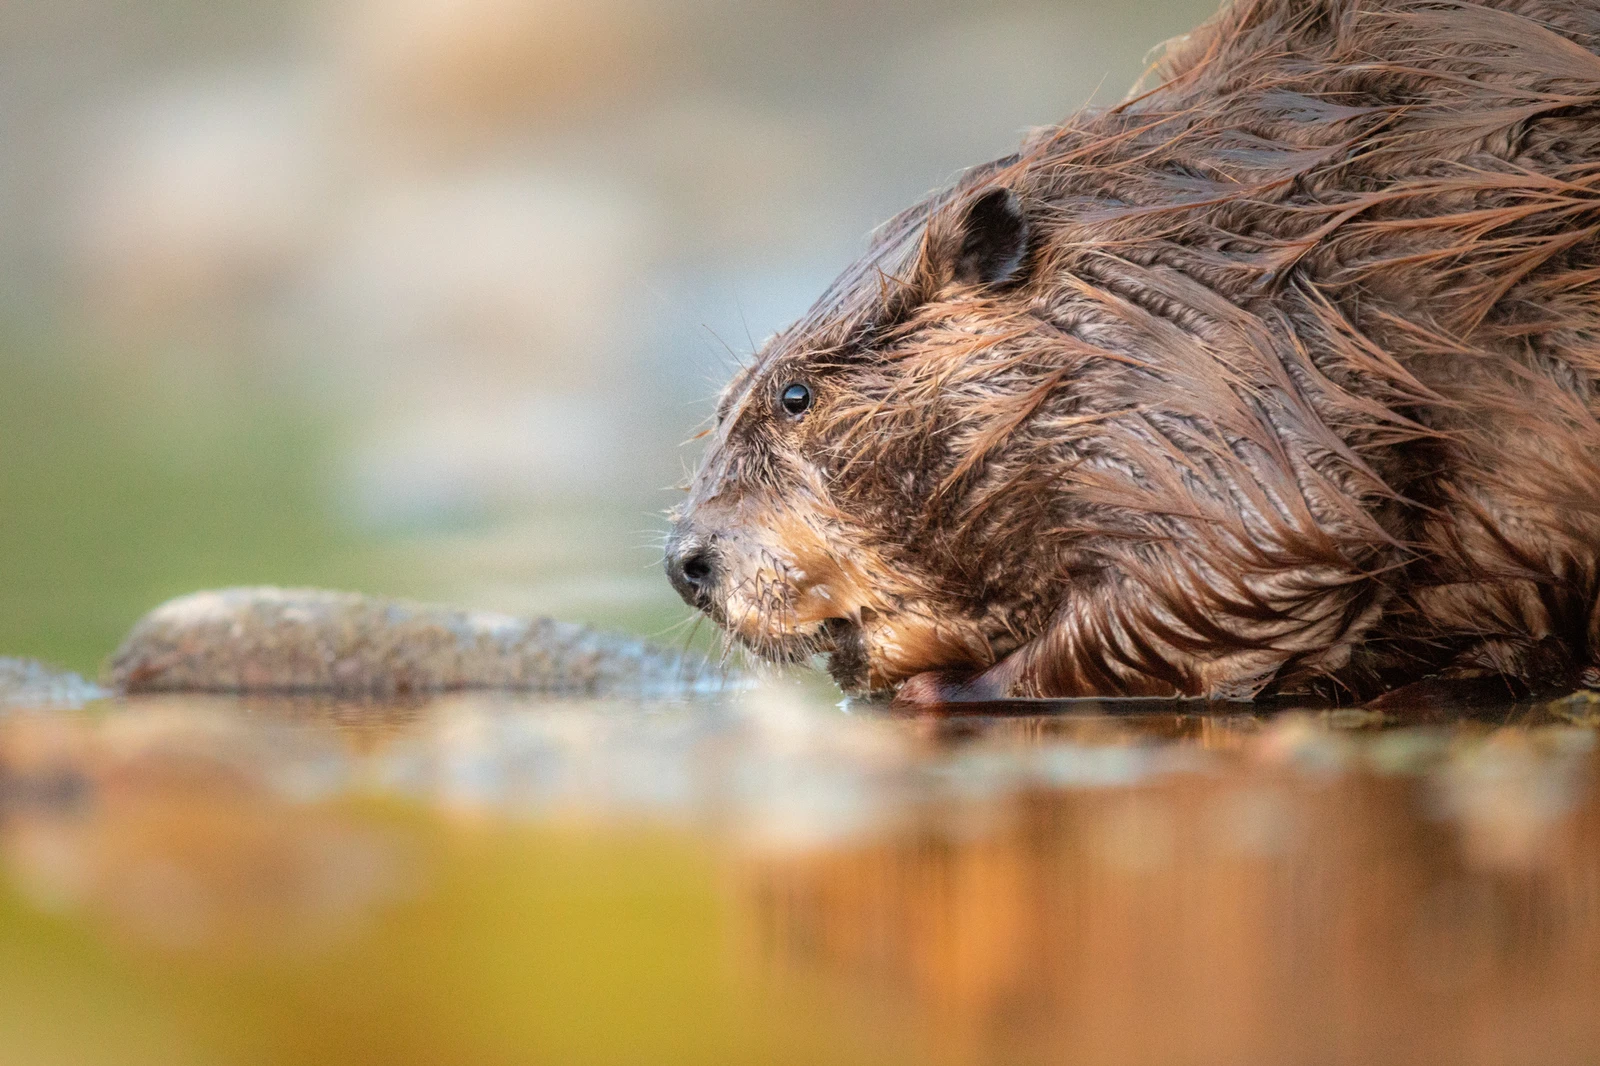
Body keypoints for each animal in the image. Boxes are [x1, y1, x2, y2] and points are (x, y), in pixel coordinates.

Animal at [665, 0, 1600, 701]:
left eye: (796, 397)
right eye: (727, 404)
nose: (685, 563)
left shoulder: (1231, 401)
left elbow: (1273, 551)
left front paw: (949, 691)